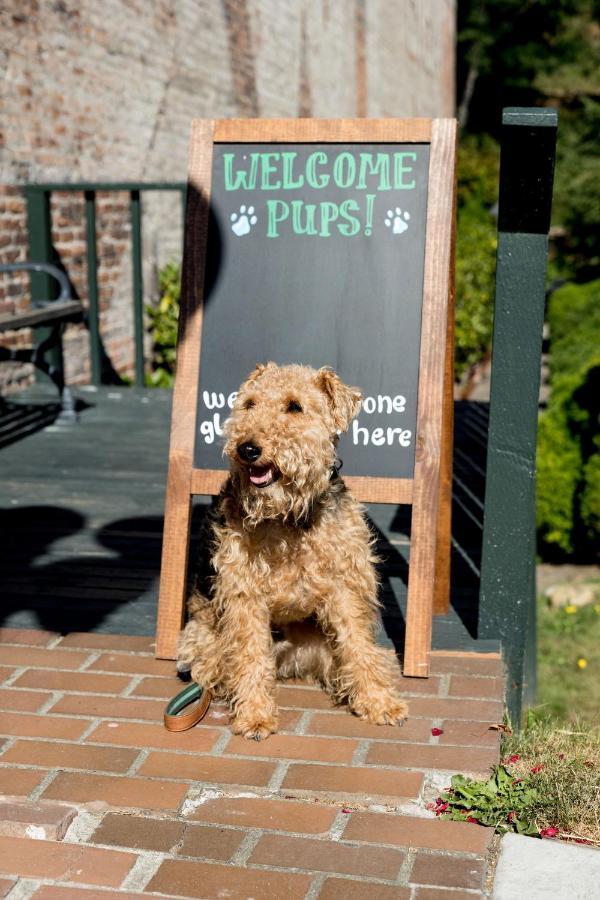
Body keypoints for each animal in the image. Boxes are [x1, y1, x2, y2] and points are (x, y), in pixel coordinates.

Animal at [176, 362, 406, 740]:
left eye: (294, 406)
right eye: (249, 404)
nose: (247, 448)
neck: (288, 518)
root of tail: (289, 661)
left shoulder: (345, 586)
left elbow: (358, 646)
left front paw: (379, 702)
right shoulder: (244, 594)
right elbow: (251, 656)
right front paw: (255, 716)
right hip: (204, 643)